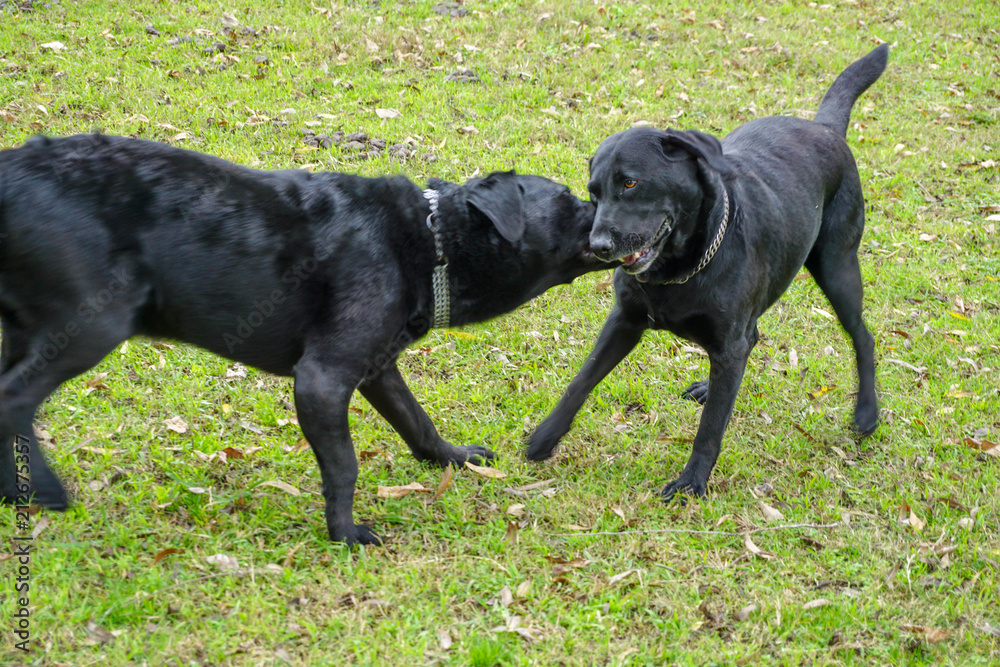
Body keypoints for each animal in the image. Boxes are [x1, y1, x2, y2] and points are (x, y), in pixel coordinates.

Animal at [0, 133, 600, 544]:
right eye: (570, 199)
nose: (604, 208)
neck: (432, 242)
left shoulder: (378, 369)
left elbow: (418, 423)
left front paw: (452, 458)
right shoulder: (322, 379)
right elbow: (345, 465)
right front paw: (345, 533)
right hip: (96, 321)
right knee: (14, 400)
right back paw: (43, 494)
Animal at [528, 43, 888, 500]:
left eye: (630, 183)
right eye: (593, 192)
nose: (599, 247)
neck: (678, 271)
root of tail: (825, 128)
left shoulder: (728, 343)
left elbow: (711, 427)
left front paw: (692, 481)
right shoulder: (625, 321)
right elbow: (581, 381)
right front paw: (546, 436)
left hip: (837, 266)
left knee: (863, 337)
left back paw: (867, 411)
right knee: (755, 338)